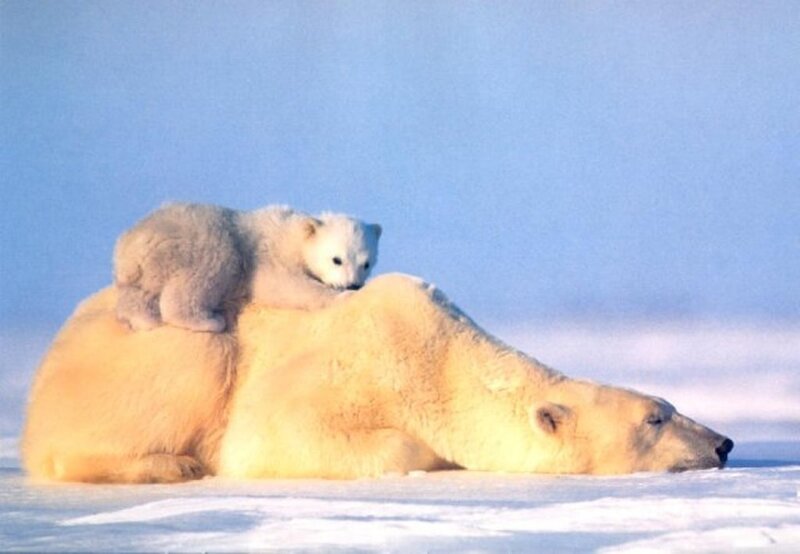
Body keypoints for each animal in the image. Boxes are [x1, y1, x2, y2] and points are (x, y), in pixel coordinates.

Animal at [21, 274, 733, 483]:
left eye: (669, 403)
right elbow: (273, 434)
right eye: (655, 418)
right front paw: (435, 459)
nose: (724, 443)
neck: (441, 356)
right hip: (154, 352)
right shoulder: (346, 367)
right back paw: (170, 464)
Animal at [113, 203, 382, 333]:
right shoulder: (267, 255)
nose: (354, 285)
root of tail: (129, 244)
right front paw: (339, 297)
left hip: (147, 268)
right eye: (337, 259)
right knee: (207, 271)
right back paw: (209, 322)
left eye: (366, 263)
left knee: (138, 293)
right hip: (202, 240)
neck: (292, 233)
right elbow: (282, 286)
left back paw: (144, 320)